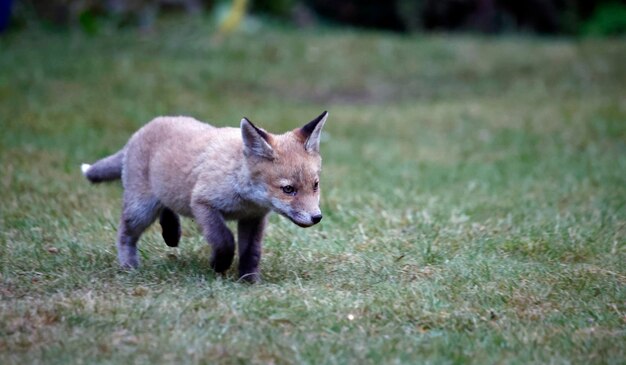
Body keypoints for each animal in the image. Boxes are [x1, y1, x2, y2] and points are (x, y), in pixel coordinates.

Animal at [81, 111, 330, 282]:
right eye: (288, 189)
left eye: (315, 185)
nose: (316, 217)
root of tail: (143, 129)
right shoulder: (202, 203)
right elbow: (224, 239)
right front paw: (218, 264)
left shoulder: (254, 217)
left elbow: (252, 251)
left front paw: (249, 280)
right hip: (141, 209)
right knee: (125, 233)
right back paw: (129, 265)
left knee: (167, 207)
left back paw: (171, 232)